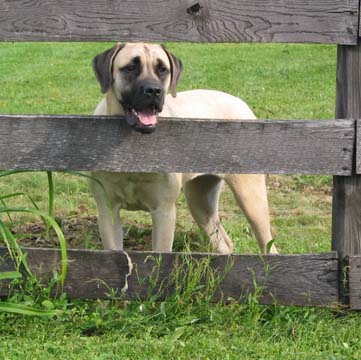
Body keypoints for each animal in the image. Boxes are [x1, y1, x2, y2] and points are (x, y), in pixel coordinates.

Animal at [89, 42, 276, 255]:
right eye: (131, 67)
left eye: (163, 69)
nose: (154, 91)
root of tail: (241, 103)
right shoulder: (107, 209)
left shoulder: (163, 210)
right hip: (200, 200)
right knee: (223, 241)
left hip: (251, 196)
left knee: (268, 245)